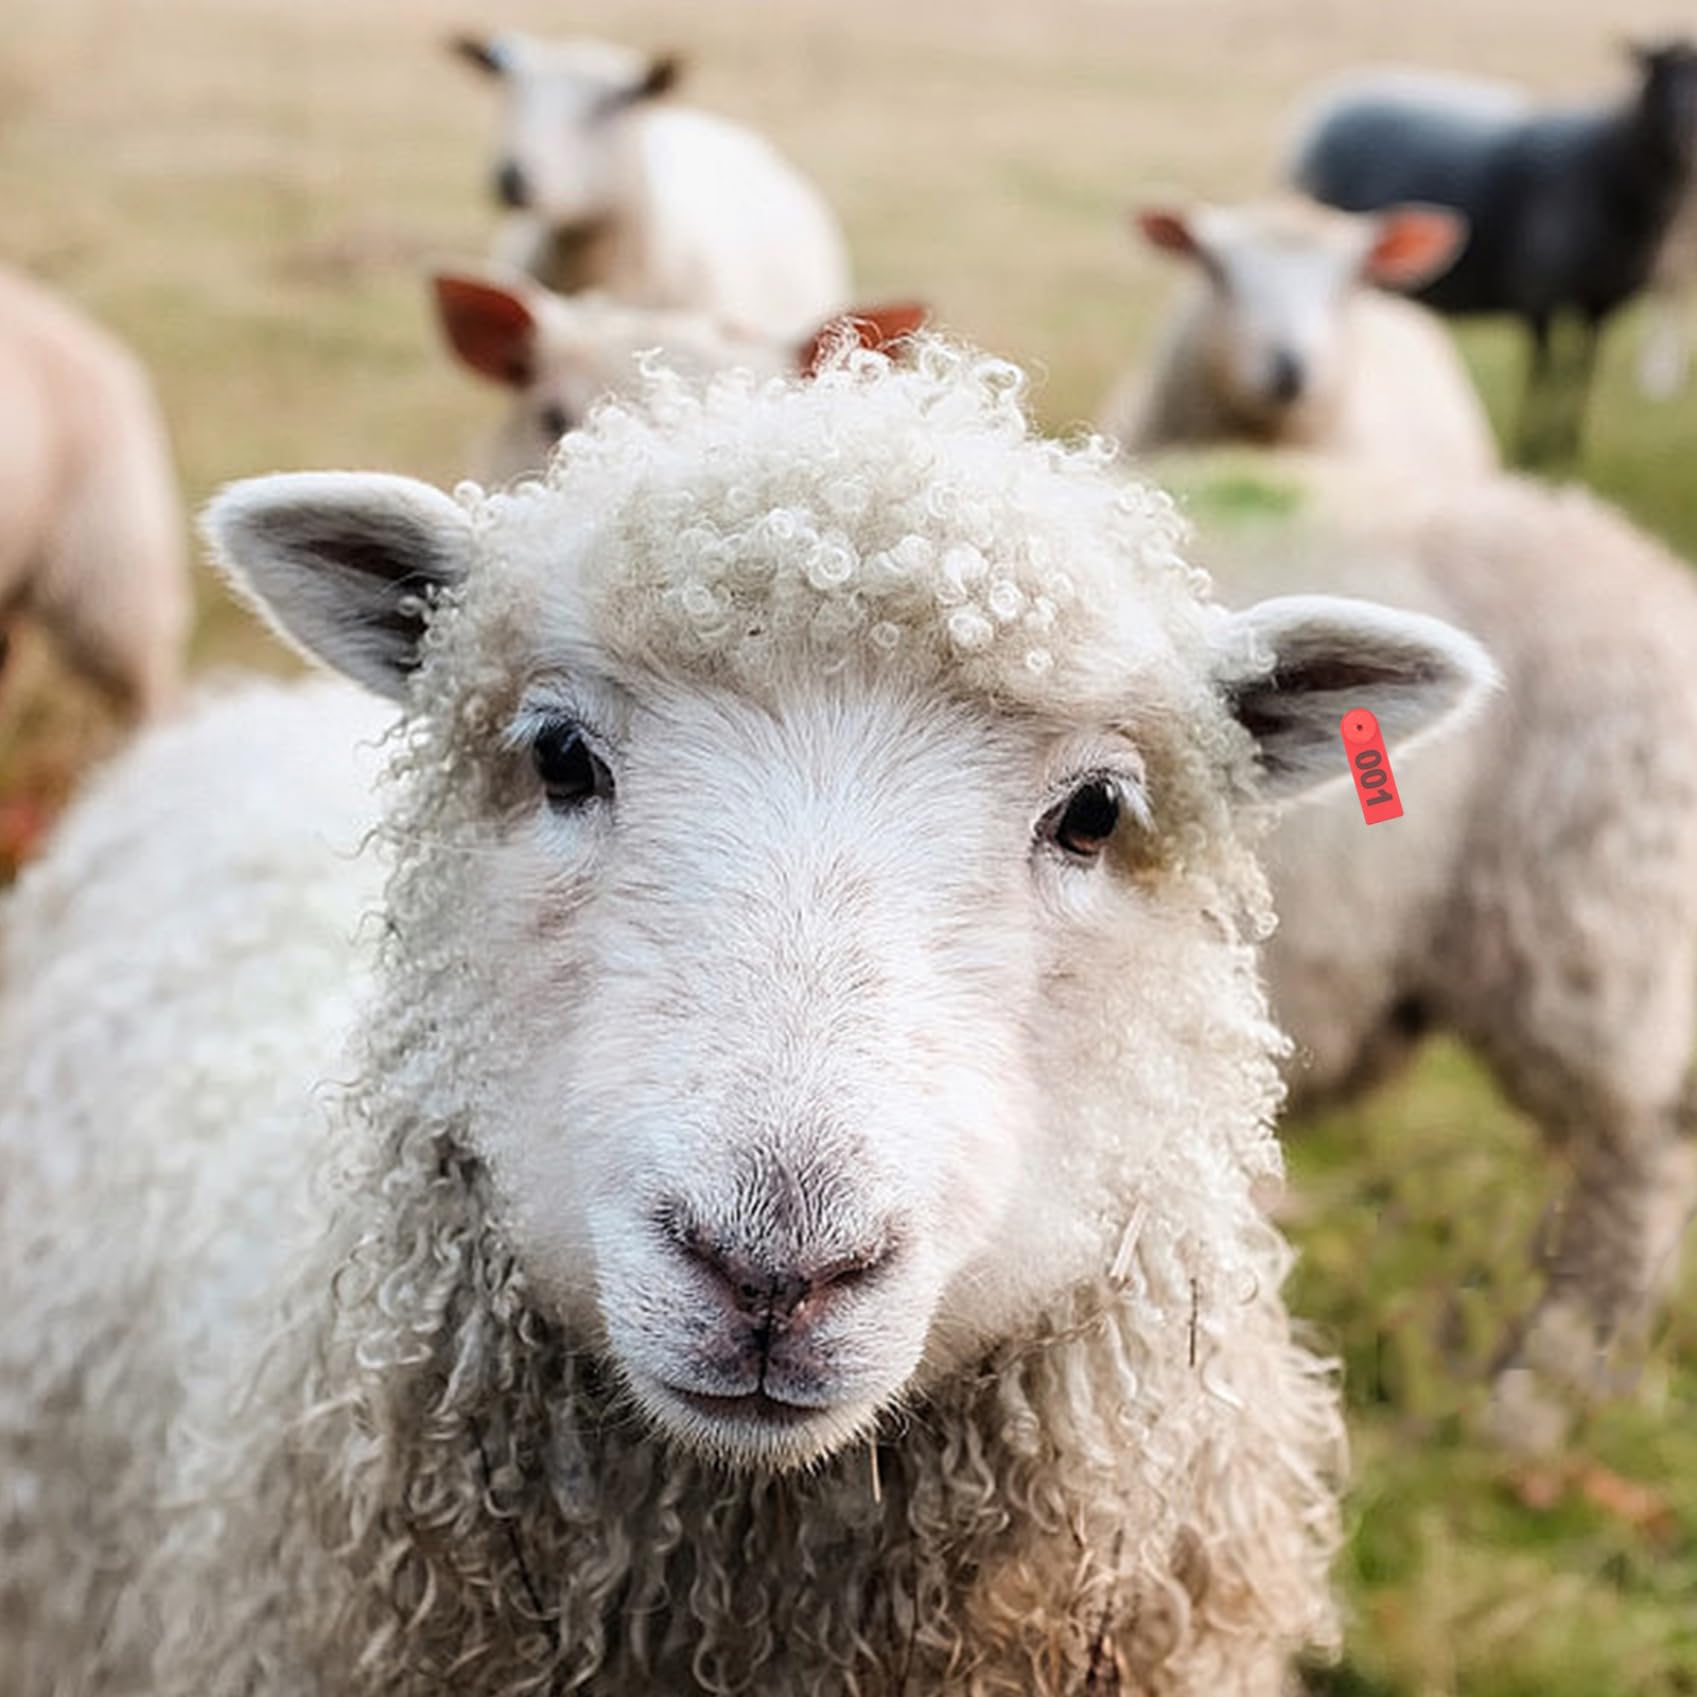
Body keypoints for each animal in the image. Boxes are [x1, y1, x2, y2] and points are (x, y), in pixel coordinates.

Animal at [1289, 41, 1697, 463]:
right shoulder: (1539, 296)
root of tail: (1326, 102)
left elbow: (1580, 371)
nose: (1686, 133)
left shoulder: (1599, 303)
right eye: (1659, 71)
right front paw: (1532, 444)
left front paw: (1566, 444)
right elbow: (1543, 372)